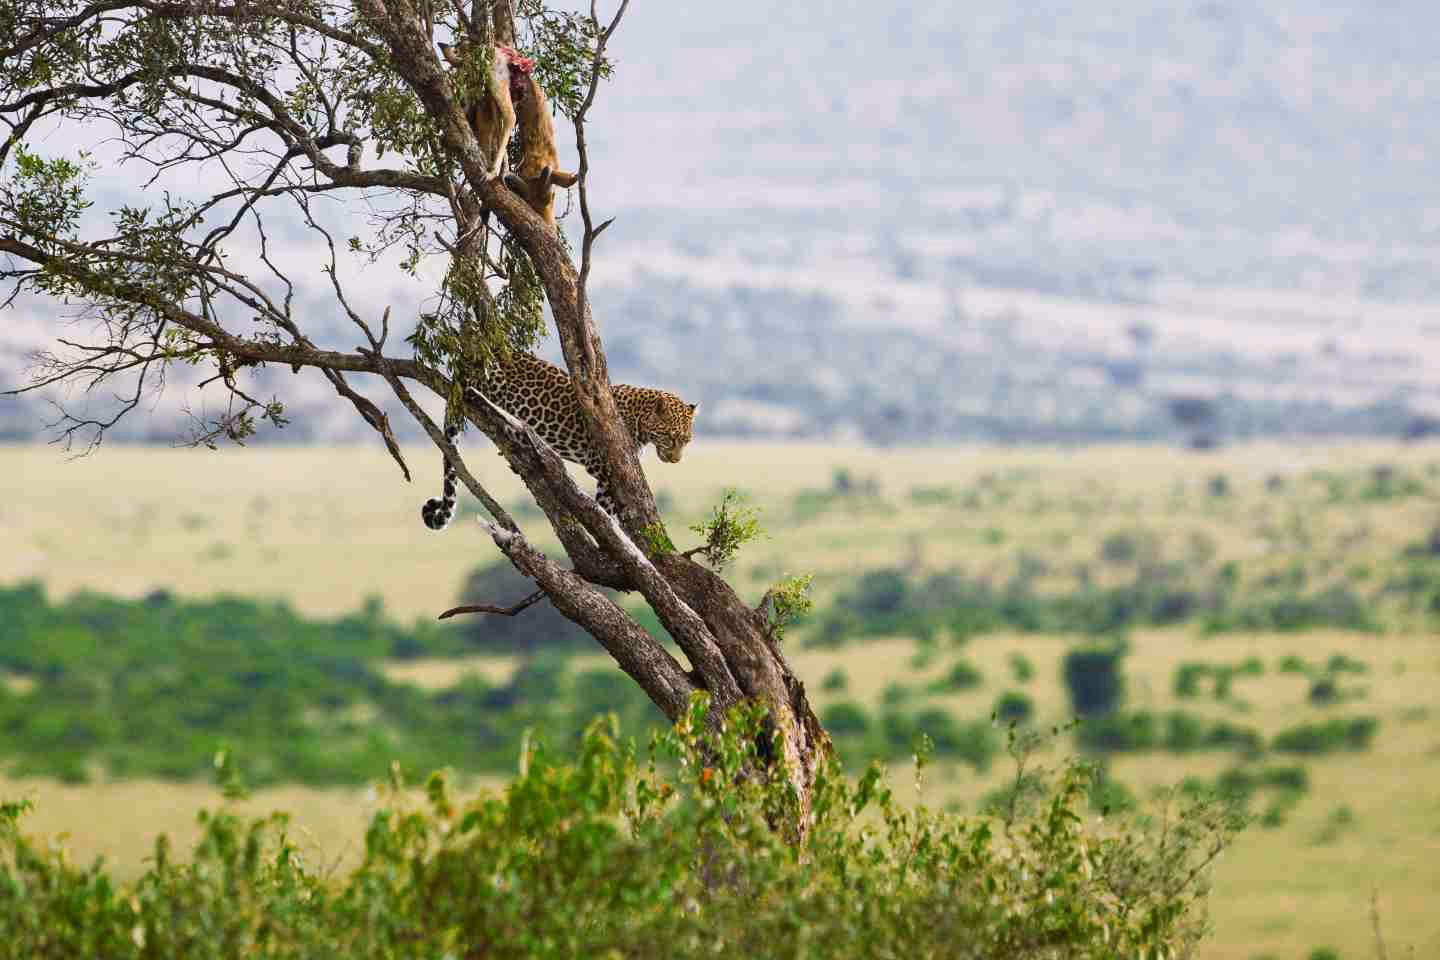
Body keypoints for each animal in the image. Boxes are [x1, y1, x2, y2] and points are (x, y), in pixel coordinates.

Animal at [422, 351, 698, 530]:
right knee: (479, 396)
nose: (675, 460)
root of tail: (464, 361)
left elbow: (604, 504)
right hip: (490, 378)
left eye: (686, 441)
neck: (639, 418)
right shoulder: (600, 463)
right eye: (670, 437)